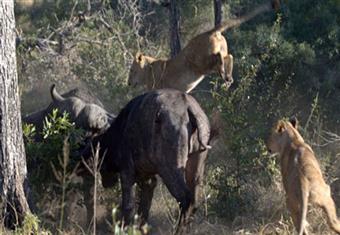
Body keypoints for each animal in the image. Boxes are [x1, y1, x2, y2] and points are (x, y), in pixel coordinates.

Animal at [90, 88, 212, 233]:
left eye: (100, 161)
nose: (106, 183)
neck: (122, 128)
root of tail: (188, 106)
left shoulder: (126, 172)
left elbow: (128, 206)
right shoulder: (148, 180)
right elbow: (144, 207)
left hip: (170, 169)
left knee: (186, 199)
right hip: (196, 171)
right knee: (194, 203)